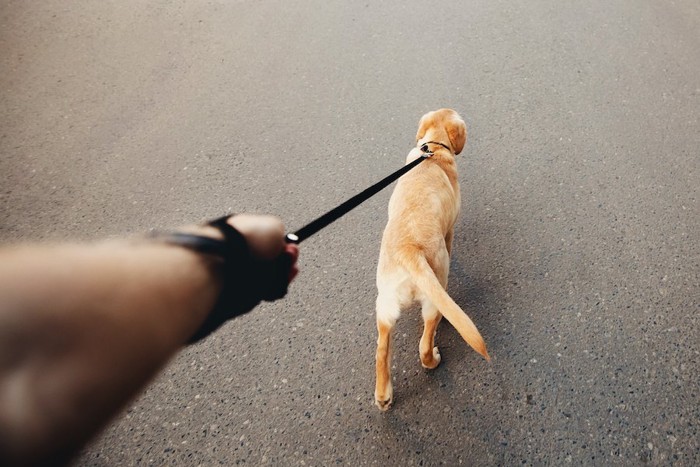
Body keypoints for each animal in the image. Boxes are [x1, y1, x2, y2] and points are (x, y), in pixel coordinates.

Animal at [374, 108, 490, 412]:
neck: (434, 150)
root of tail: (409, 250)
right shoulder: (450, 230)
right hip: (434, 297)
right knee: (424, 345)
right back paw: (434, 359)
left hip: (384, 307)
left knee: (381, 351)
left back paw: (383, 396)